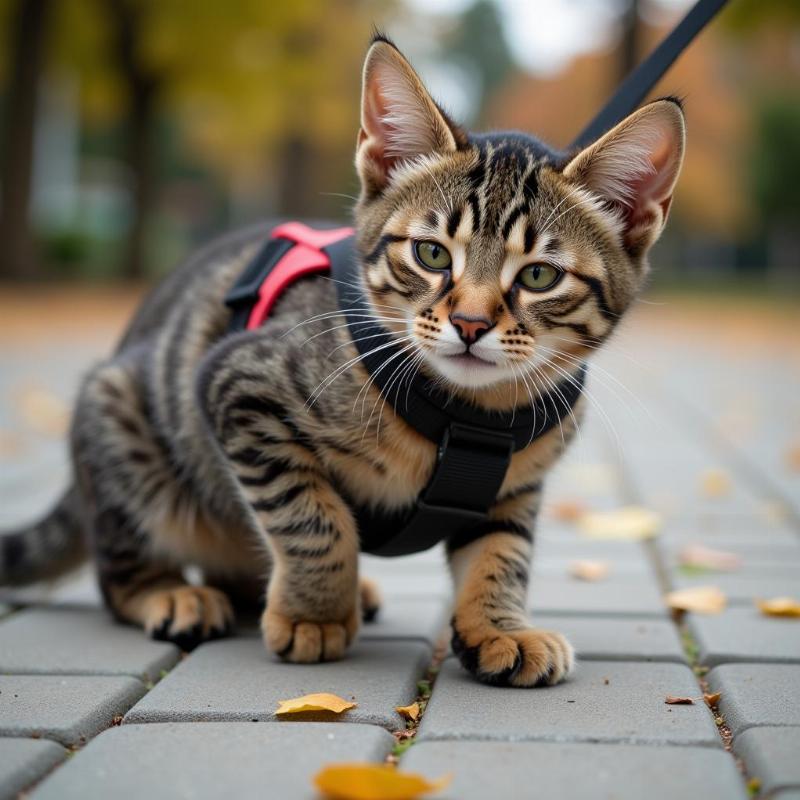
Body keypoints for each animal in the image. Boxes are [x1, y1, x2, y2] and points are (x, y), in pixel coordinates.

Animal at [1, 36, 688, 688]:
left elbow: (502, 554)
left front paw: (500, 627)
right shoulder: (239, 385)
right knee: (120, 575)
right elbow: (312, 517)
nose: (470, 324)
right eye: (432, 255)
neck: (472, 413)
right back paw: (172, 593)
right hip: (118, 417)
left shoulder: (514, 487)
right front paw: (317, 614)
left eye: (540, 276)